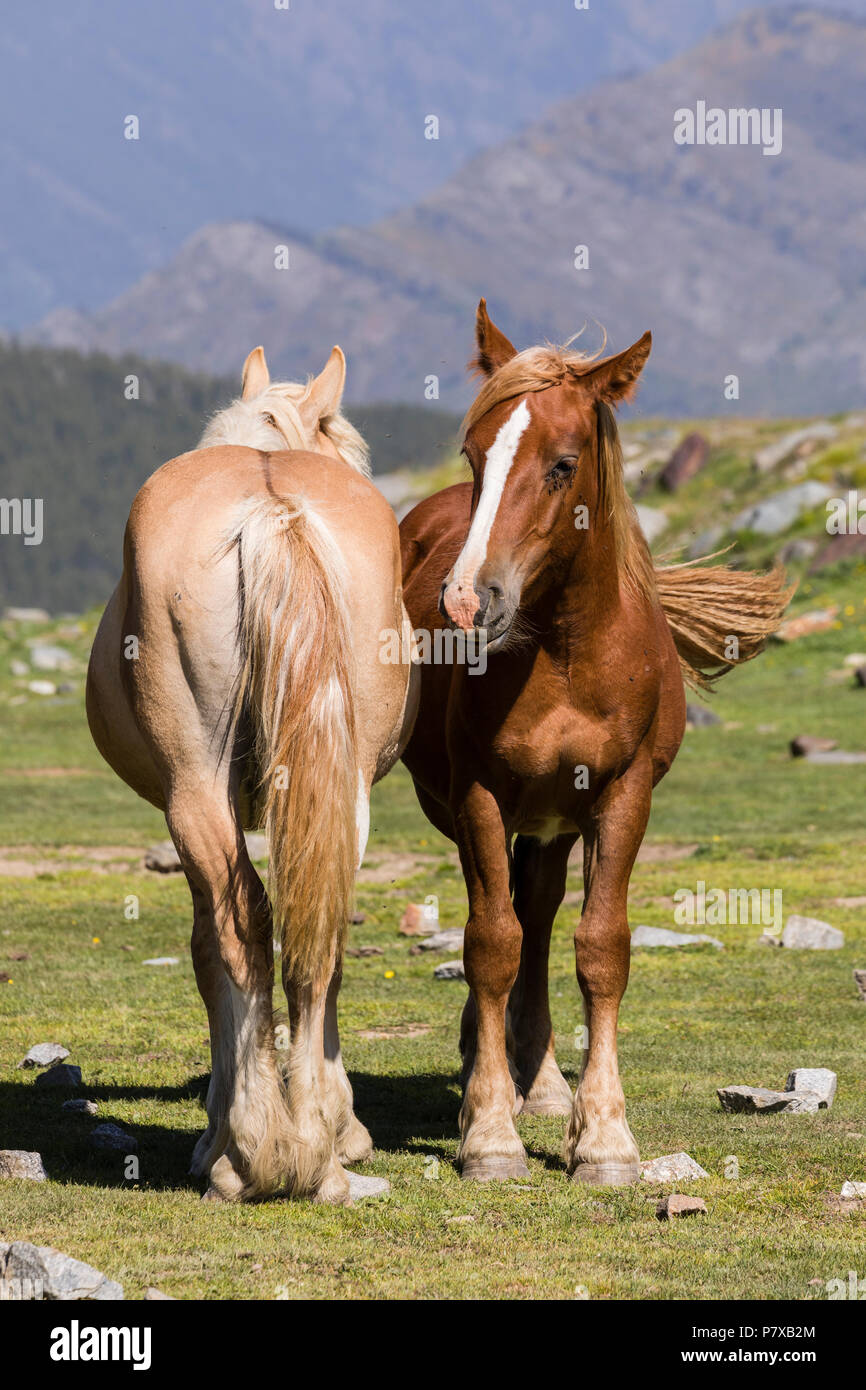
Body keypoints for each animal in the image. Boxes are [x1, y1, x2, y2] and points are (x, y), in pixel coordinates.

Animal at [87, 344, 418, 1203]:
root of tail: (272, 511)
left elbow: (210, 951)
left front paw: (216, 1132)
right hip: (340, 792)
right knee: (317, 931)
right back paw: (318, 1150)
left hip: (194, 789)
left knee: (240, 932)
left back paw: (255, 1155)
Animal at [399, 300, 793, 1185]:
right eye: (475, 452)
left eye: (563, 464)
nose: (467, 601)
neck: (567, 655)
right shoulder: (479, 795)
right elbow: (490, 943)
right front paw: (489, 1131)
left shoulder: (623, 795)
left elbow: (599, 947)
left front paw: (604, 1136)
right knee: (507, 919)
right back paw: (494, 1075)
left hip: (555, 823)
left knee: (542, 917)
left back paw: (542, 1084)